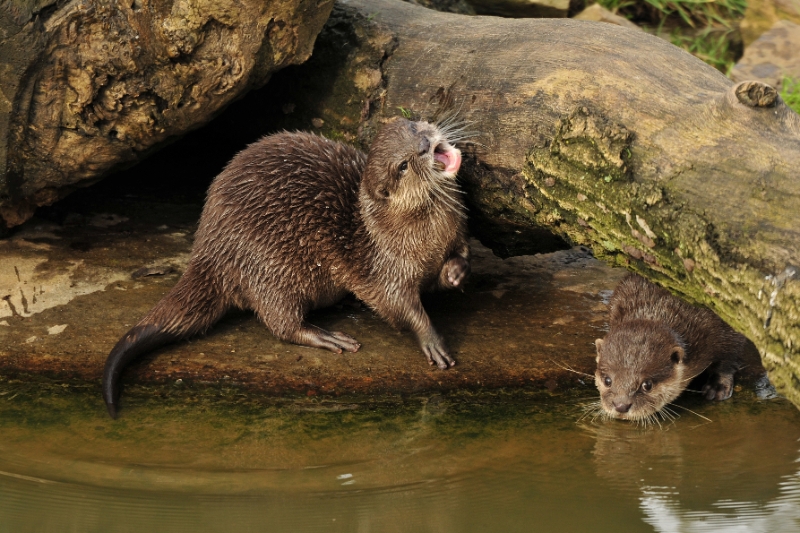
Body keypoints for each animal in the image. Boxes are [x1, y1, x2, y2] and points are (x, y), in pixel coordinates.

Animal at [104, 118, 472, 418]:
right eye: (404, 165)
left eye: (414, 126)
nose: (424, 144)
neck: (423, 236)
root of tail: (209, 247)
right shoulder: (385, 266)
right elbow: (397, 305)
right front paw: (431, 338)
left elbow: (451, 265)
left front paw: (456, 270)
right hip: (270, 267)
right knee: (280, 322)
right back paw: (326, 336)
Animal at [592, 274, 748, 424]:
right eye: (607, 380)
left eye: (647, 385)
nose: (621, 405)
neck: (658, 309)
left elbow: (729, 357)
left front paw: (718, 387)